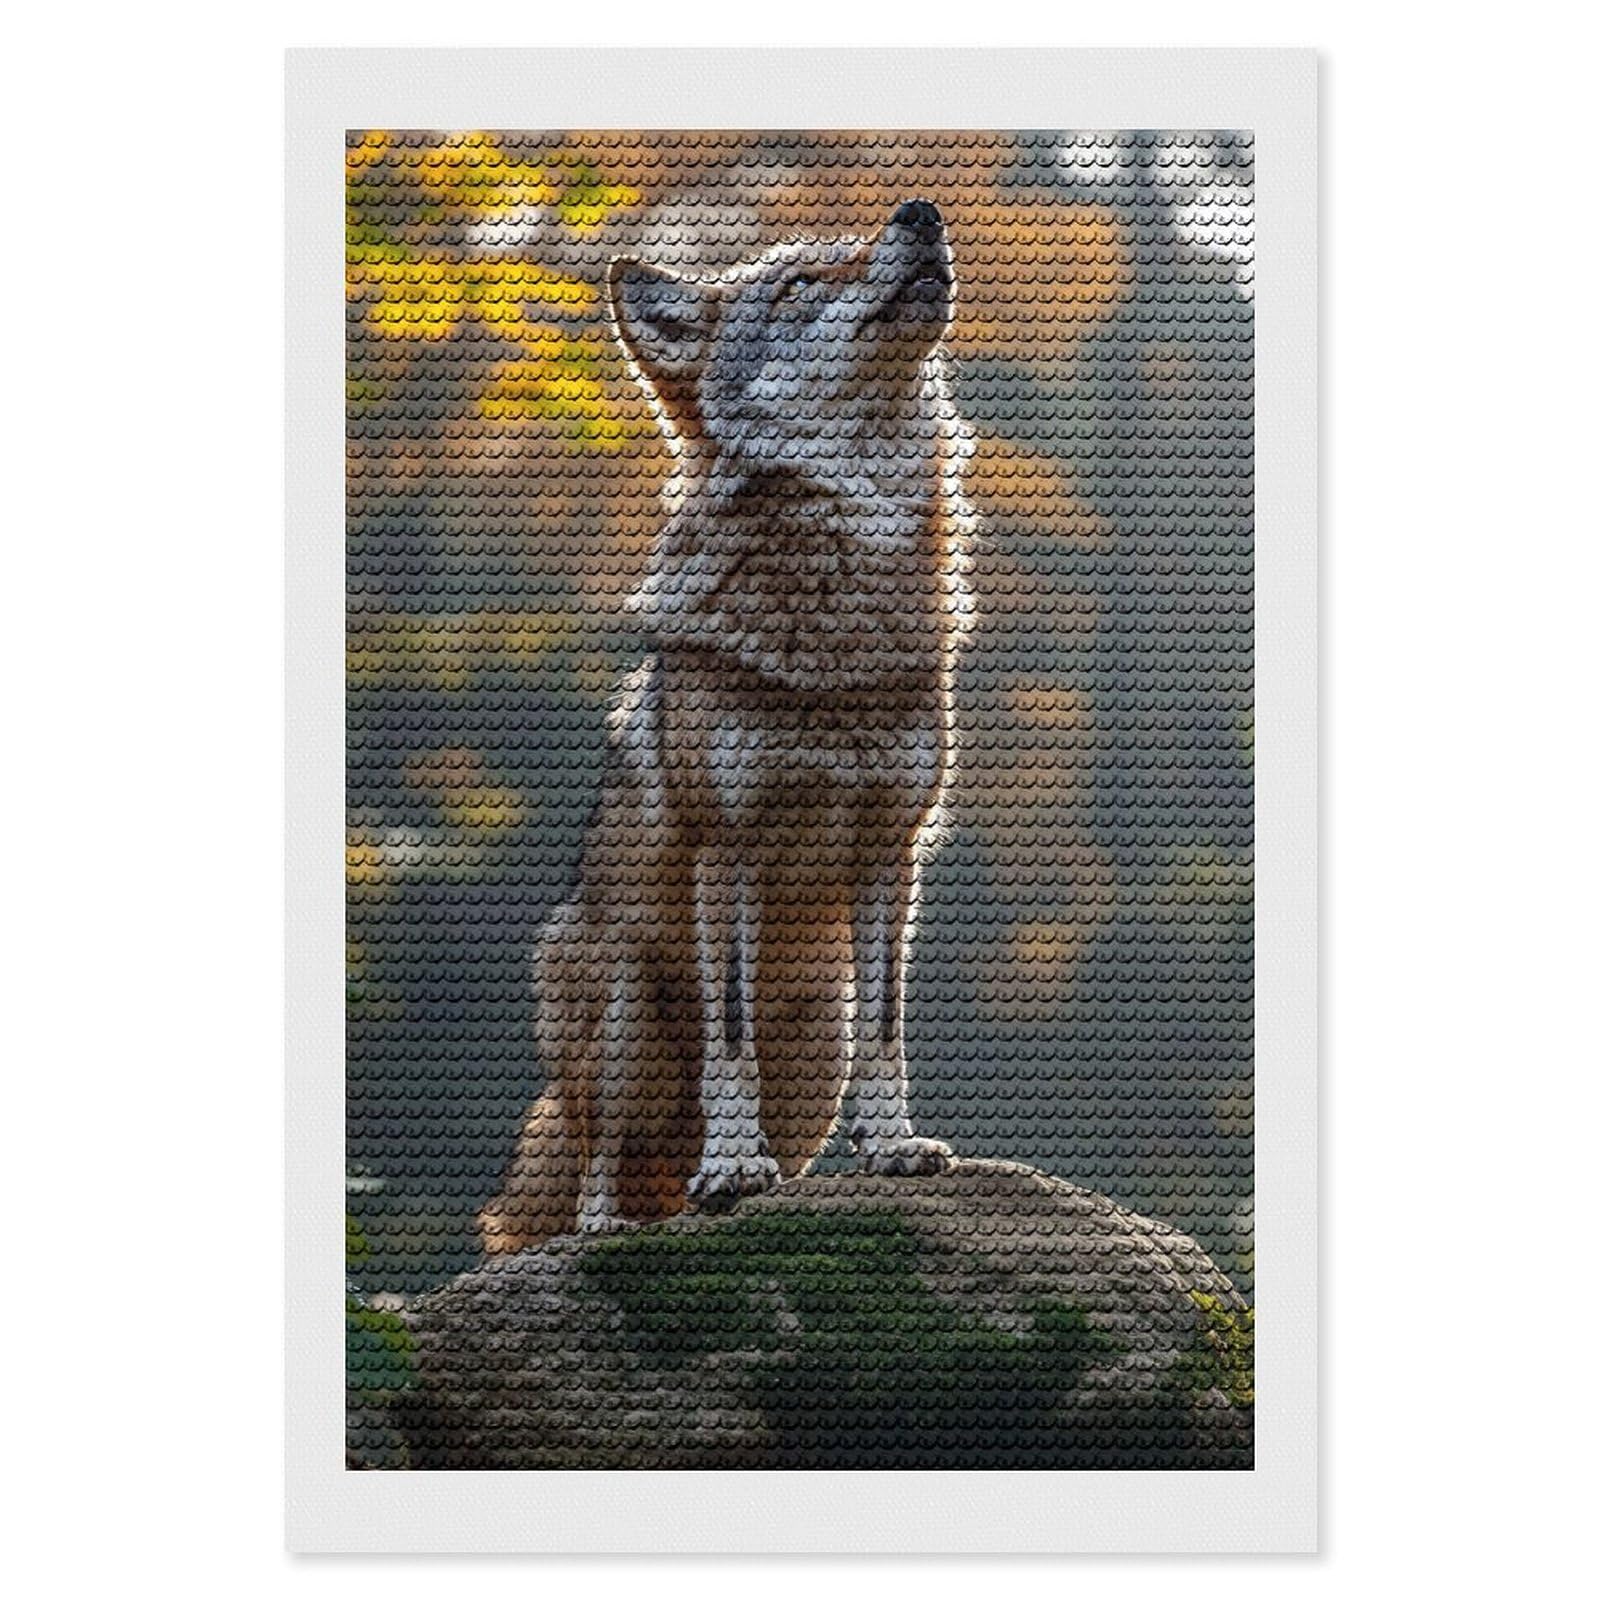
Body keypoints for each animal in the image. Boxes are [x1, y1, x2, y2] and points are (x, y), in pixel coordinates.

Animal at [479, 200, 976, 1253]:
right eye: (799, 284)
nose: (920, 215)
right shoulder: (728, 846)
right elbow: (730, 1033)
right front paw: (734, 1163)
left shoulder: (891, 849)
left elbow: (890, 1029)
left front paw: (894, 1146)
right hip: (619, 1011)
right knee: (596, 1172)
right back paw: (622, 1221)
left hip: (819, 1036)